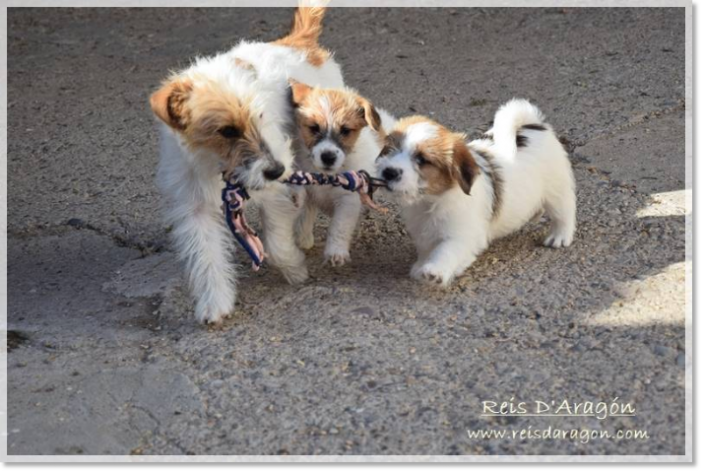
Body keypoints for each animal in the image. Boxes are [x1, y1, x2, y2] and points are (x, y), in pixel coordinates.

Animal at [288, 81, 388, 266]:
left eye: (345, 130)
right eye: (313, 127)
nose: (328, 157)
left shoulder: (348, 201)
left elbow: (339, 227)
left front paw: (336, 252)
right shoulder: (309, 189)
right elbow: (304, 213)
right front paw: (302, 238)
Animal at [376, 98, 576, 284]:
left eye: (422, 160)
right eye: (390, 149)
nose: (389, 172)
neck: (431, 200)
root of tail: (533, 124)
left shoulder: (462, 235)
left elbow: (446, 251)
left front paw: (434, 270)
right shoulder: (423, 232)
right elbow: (426, 249)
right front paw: (420, 265)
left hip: (557, 190)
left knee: (564, 212)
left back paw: (559, 236)